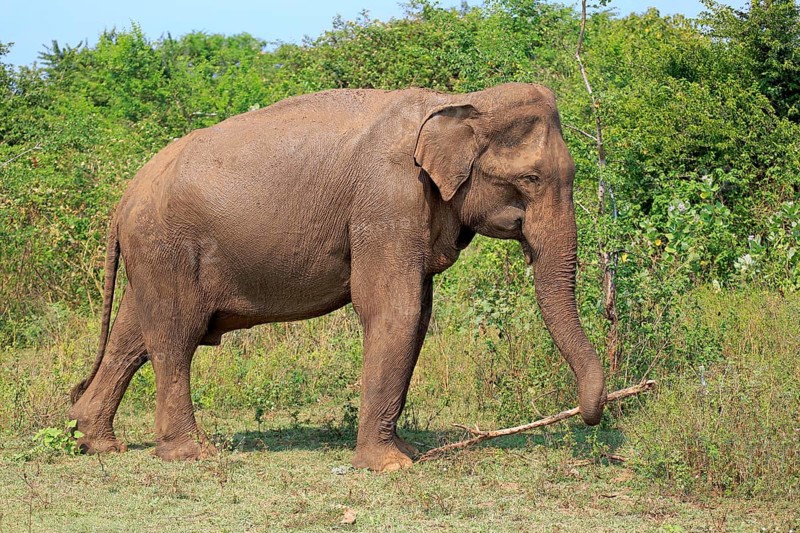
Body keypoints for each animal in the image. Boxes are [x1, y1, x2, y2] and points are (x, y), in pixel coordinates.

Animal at [69, 82, 606, 472]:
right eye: (531, 179)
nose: (588, 418)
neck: (457, 101)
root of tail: (124, 197)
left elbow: (418, 316)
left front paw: (407, 454)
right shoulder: (386, 201)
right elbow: (395, 310)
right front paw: (389, 467)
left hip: (154, 256)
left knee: (134, 334)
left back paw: (97, 442)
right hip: (168, 247)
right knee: (175, 338)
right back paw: (191, 454)